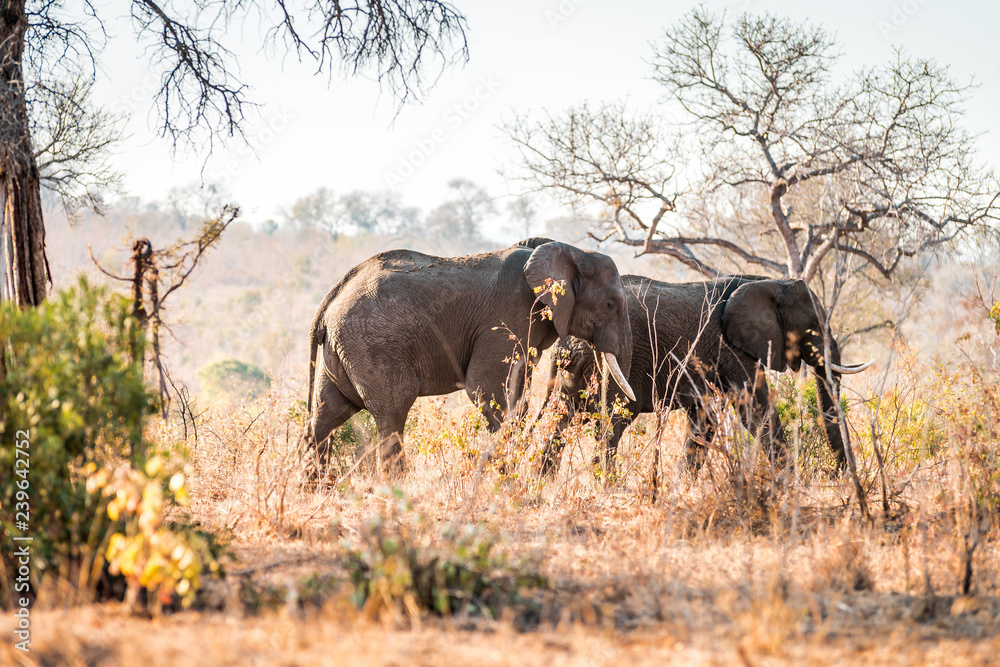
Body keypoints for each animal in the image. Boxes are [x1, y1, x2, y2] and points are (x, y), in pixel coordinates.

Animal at [305, 237, 636, 474]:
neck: (570, 251)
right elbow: (486, 389)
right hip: (373, 344)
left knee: (327, 413)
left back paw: (316, 487)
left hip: (343, 348)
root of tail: (329, 300)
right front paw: (503, 478)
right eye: (609, 305)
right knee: (392, 411)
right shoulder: (508, 316)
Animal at [537, 275, 873, 476]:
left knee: (560, 420)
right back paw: (604, 486)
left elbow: (705, 416)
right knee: (613, 422)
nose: (840, 476)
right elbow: (754, 408)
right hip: (618, 361)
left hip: (571, 370)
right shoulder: (733, 349)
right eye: (814, 325)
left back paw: (542, 485)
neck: (767, 283)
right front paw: (791, 483)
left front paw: (682, 486)